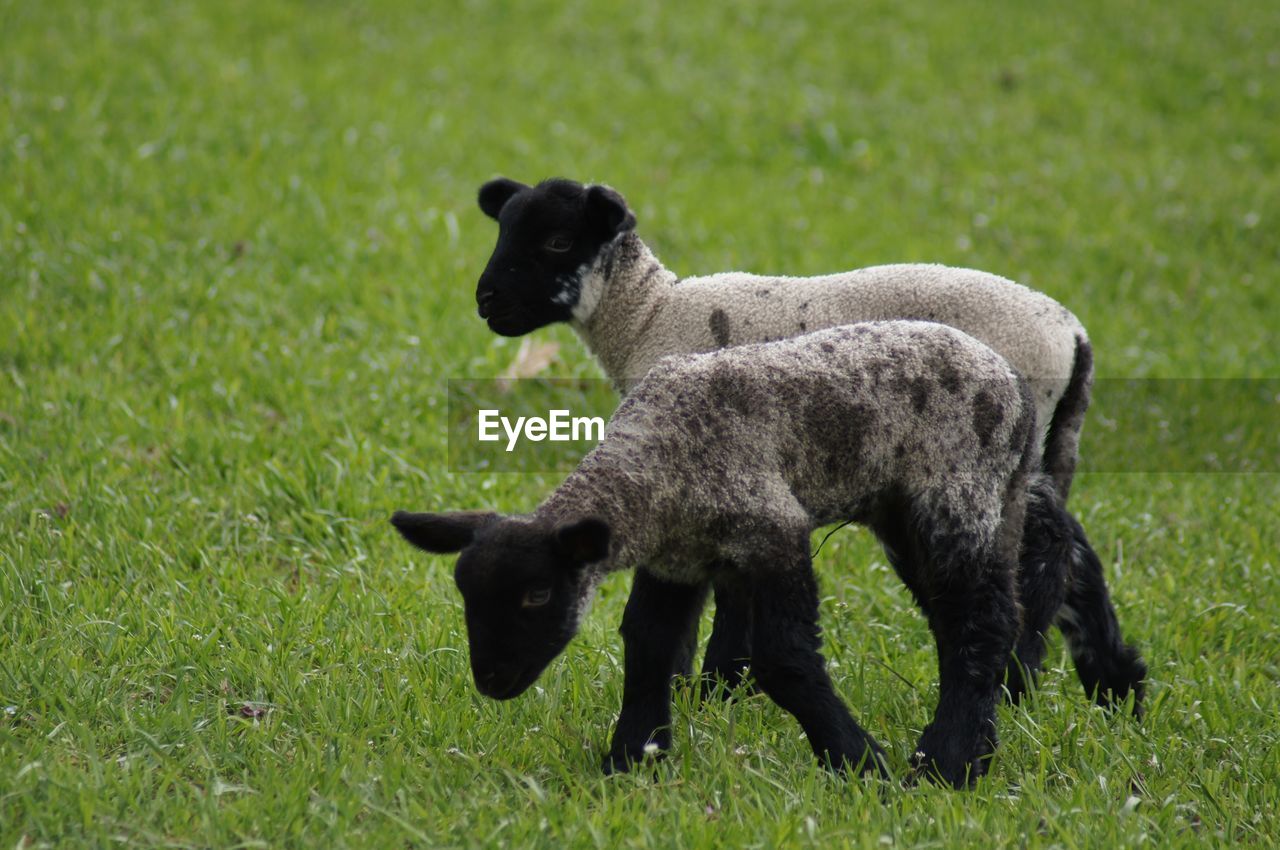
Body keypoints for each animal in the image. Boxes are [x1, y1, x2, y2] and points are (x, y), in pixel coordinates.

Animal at [391, 322, 1152, 788]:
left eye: (536, 594)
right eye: (465, 596)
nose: (492, 681)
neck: (657, 462)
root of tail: (1015, 385)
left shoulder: (774, 530)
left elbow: (783, 659)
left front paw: (858, 763)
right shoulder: (677, 559)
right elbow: (648, 643)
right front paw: (632, 757)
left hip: (958, 494)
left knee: (984, 622)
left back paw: (948, 763)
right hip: (913, 509)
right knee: (985, 606)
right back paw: (1107, 688)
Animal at [473, 174, 1131, 701]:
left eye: (558, 242)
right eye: (501, 230)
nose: (485, 300)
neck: (648, 316)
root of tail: (1074, 336)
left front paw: (712, 689)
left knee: (1048, 549)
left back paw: (1024, 677)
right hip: (1043, 446)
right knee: (1074, 546)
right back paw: (1115, 686)